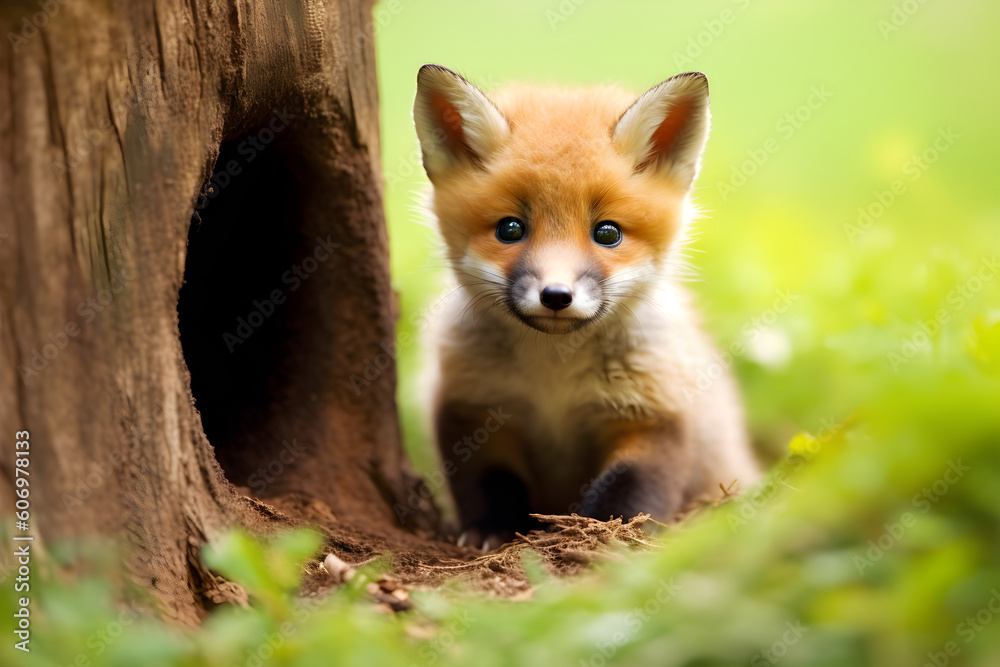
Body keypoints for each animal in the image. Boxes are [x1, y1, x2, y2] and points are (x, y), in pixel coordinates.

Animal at [412, 64, 759, 548]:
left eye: (608, 233)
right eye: (510, 229)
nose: (556, 296)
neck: (554, 380)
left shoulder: (654, 412)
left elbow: (629, 487)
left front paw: (602, 536)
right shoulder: (473, 407)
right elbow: (490, 480)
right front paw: (492, 528)